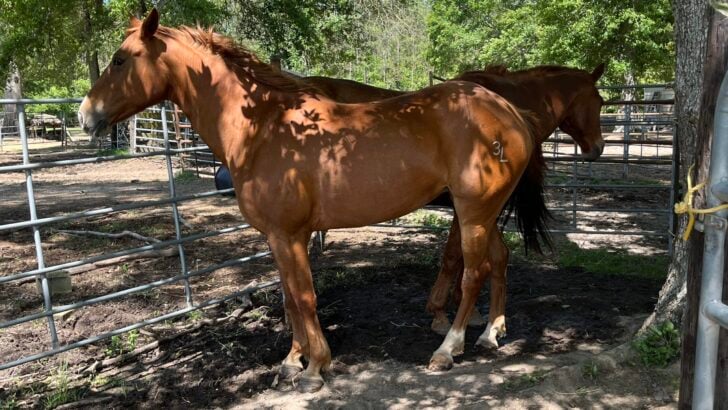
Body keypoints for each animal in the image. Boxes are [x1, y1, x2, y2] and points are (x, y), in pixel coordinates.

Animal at [299, 65, 605, 346]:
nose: (598, 148)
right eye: (600, 101)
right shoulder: (469, 209)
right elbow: (454, 257)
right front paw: (442, 314)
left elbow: (481, 258)